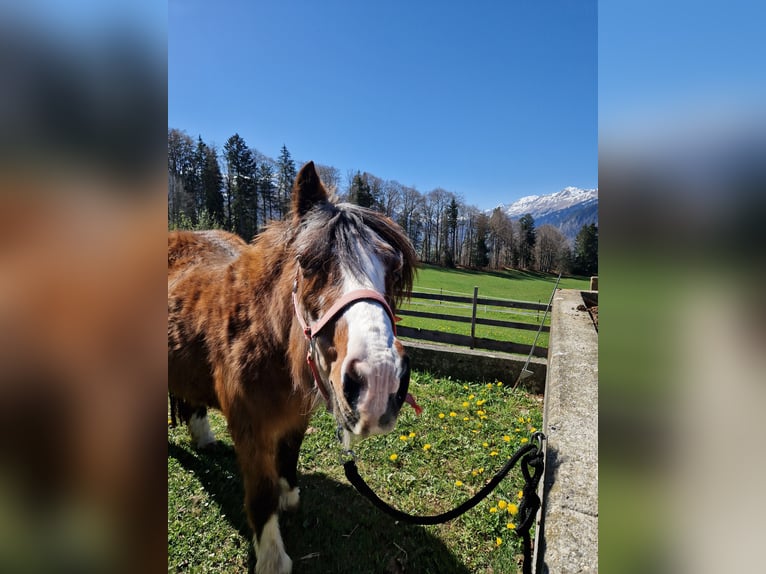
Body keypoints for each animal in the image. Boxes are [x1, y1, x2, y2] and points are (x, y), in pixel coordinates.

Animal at [170, 160, 420, 572]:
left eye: (394, 269)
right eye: (308, 262)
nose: (379, 381)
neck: (266, 343)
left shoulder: (297, 416)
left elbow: (287, 458)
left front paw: (289, 497)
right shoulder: (250, 429)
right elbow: (261, 494)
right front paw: (272, 557)